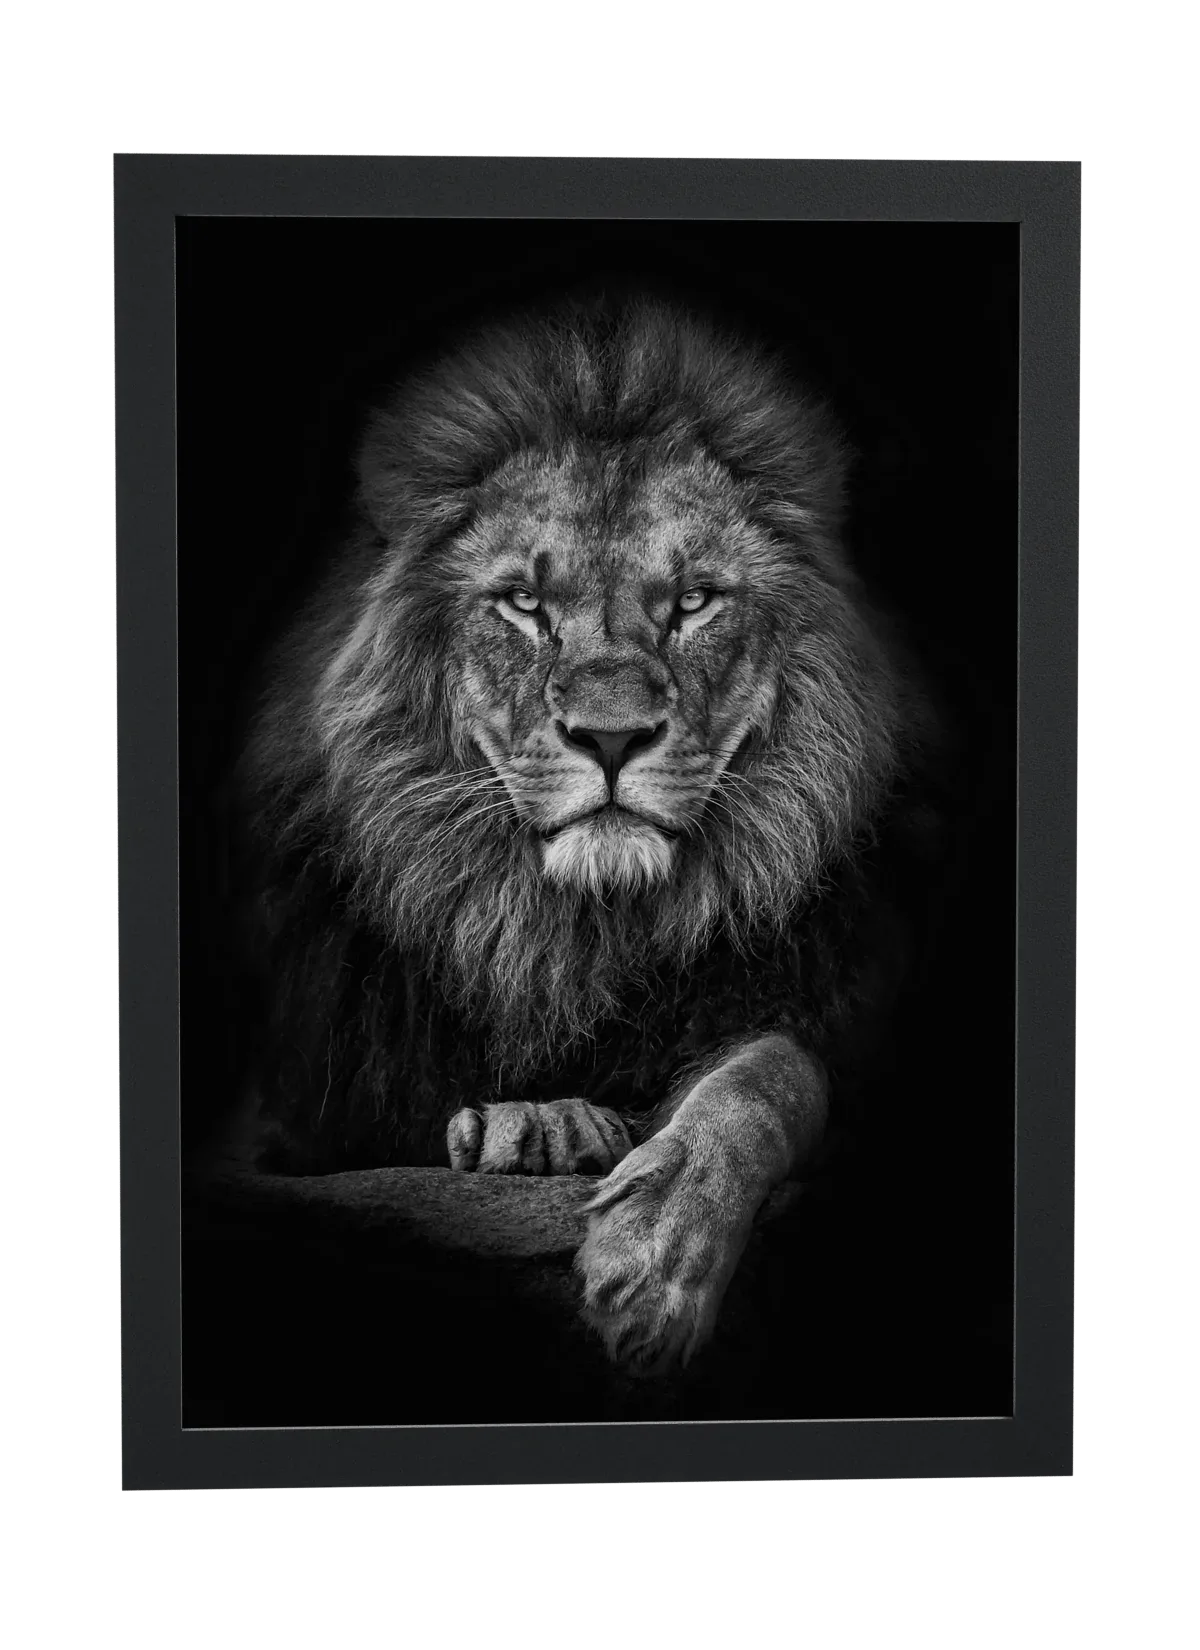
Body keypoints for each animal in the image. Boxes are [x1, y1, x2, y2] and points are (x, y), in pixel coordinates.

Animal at [232, 291, 937, 1377]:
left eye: (693, 601)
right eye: (525, 603)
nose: (610, 736)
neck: (573, 934)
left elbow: (772, 1075)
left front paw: (655, 1260)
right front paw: (542, 1127)